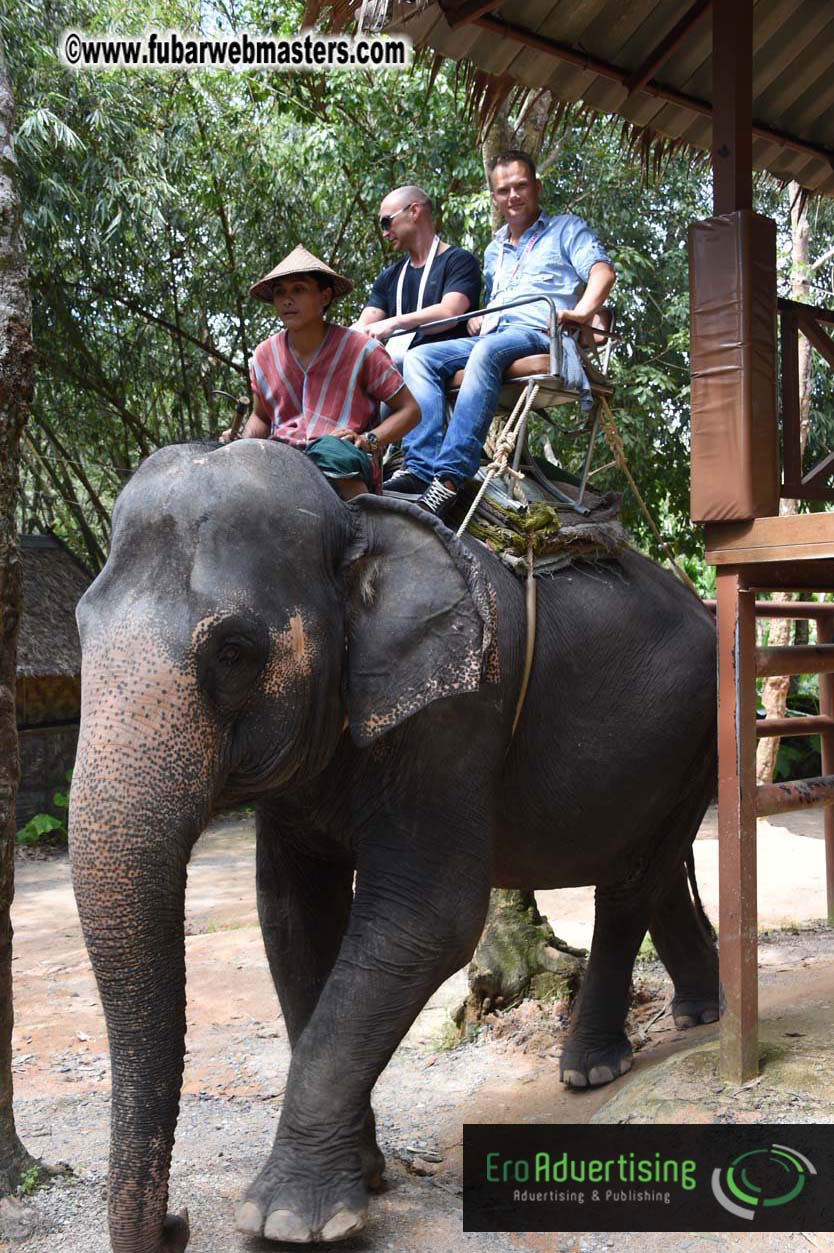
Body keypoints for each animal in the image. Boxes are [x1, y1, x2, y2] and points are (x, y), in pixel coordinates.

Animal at [69, 438, 719, 1252]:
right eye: (79, 630)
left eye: (234, 651)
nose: (178, 1223)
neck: (353, 518)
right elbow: (291, 917)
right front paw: (365, 1174)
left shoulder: (453, 717)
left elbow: (425, 919)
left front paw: (290, 1219)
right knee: (656, 869)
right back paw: (699, 1016)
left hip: (698, 723)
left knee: (630, 882)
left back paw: (591, 1072)